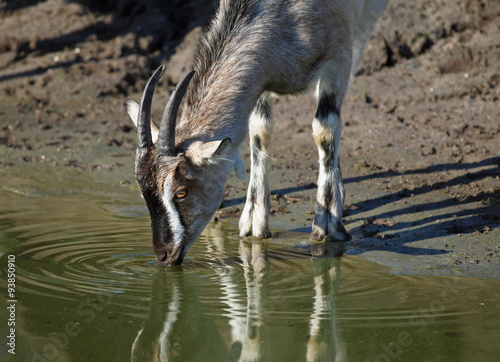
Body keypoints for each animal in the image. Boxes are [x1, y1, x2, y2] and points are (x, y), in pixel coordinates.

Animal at [124, 0, 386, 266]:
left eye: (181, 192)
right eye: (143, 192)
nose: (163, 254)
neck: (286, 13)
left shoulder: (339, 54)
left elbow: (325, 127)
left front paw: (327, 224)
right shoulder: (261, 79)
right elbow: (259, 129)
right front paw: (253, 221)